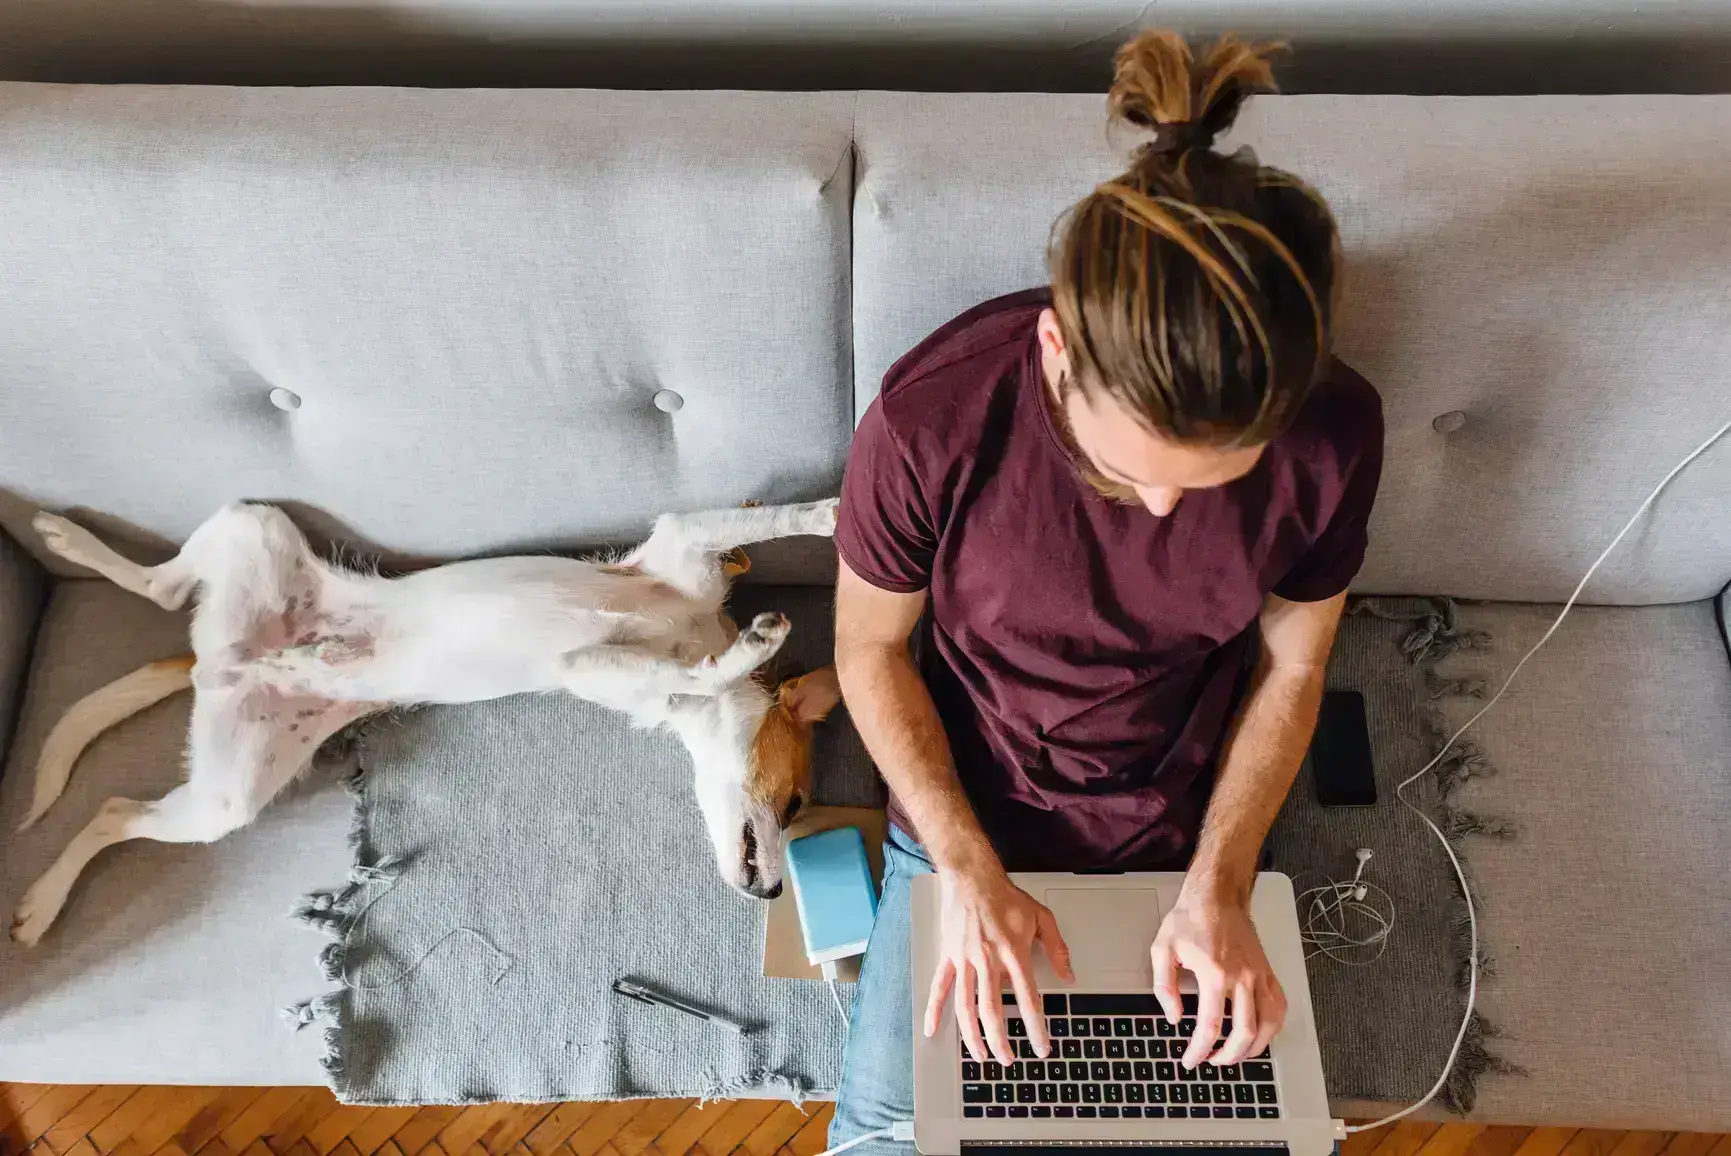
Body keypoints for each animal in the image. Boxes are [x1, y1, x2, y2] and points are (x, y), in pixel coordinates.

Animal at [10, 498, 841, 948]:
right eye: (795, 802)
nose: (773, 896)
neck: (696, 634)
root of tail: (218, 659)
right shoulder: (679, 551)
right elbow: (766, 527)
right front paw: (824, 524)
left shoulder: (594, 669)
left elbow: (691, 672)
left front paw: (737, 651)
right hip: (257, 535)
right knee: (150, 606)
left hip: (230, 789)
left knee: (115, 803)